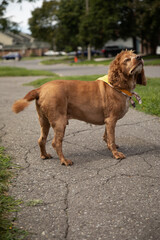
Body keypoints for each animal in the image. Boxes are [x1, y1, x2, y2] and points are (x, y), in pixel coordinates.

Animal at [12, 50, 146, 166]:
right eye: (127, 59)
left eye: (135, 54)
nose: (140, 57)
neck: (118, 85)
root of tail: (40, 89)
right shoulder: (111, 120)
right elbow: (111, 138)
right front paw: (116, 154)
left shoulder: (108, 121)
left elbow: (107, 136)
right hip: (59, 121)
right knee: (56, 143)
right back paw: (64, 161)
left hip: (44, 121)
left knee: (41, 140)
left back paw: (44, 155)